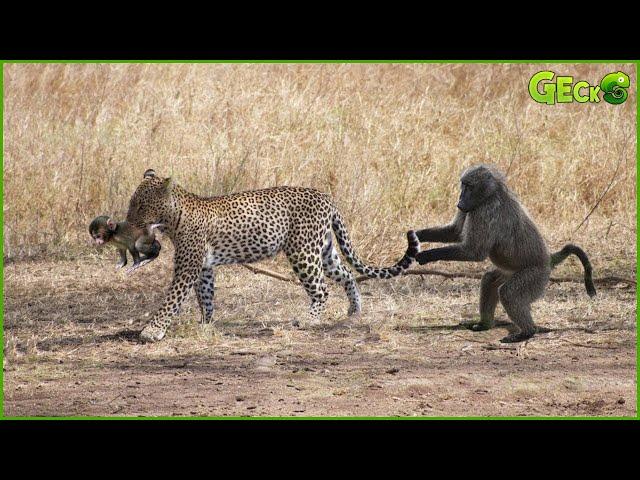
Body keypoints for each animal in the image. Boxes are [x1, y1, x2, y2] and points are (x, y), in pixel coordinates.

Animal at [127, 169, 422, 342]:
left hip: (303, 252)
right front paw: (205, 324)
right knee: (347, 274)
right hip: (325, 250)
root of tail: (326, 197)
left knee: (322, 289)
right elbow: (206, 297)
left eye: (139, 205)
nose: (127, 221)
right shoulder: (204, 267)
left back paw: (308, 319)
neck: (172, 219)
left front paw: (152, 331)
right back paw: (354, 310)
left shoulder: (188, 267)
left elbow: (171, 300)